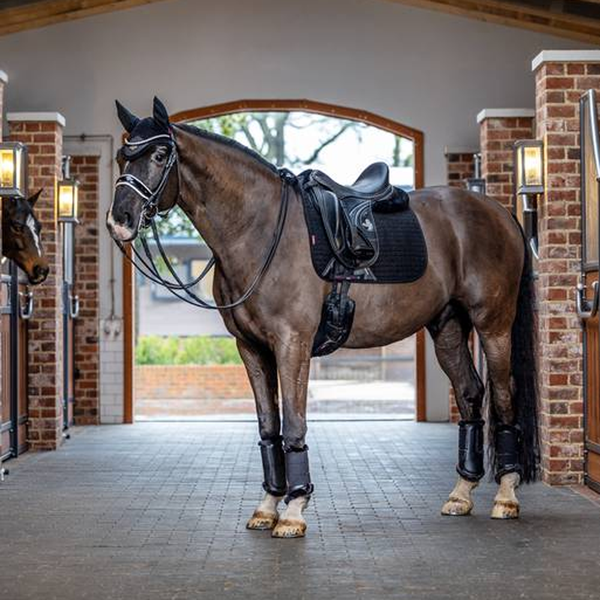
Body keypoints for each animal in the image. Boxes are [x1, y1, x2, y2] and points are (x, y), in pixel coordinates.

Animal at [106, 98, 540, 540]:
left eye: (160, 155)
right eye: (123, 154)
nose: (119, 219)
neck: (259, 229)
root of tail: (497, 211)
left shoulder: (292, 343)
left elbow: (294, 424)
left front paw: (294, 511)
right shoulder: (251, 348)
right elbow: (269, 427)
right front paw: (267, 506)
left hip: (493, 324)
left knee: (503, 396)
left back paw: (506, 496)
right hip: (448, 328)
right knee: (470, 394)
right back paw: (461, 494)